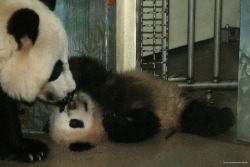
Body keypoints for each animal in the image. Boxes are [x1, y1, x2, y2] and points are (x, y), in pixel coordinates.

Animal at [48, 56, 234, 152]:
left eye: (62, 108)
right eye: (74, 124)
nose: (72, 103)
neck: (100, 107)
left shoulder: (100, 88)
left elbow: (90, 71)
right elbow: (145, 125)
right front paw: (112, 121)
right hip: (177, 114)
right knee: (200, 119)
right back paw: (226, 116)